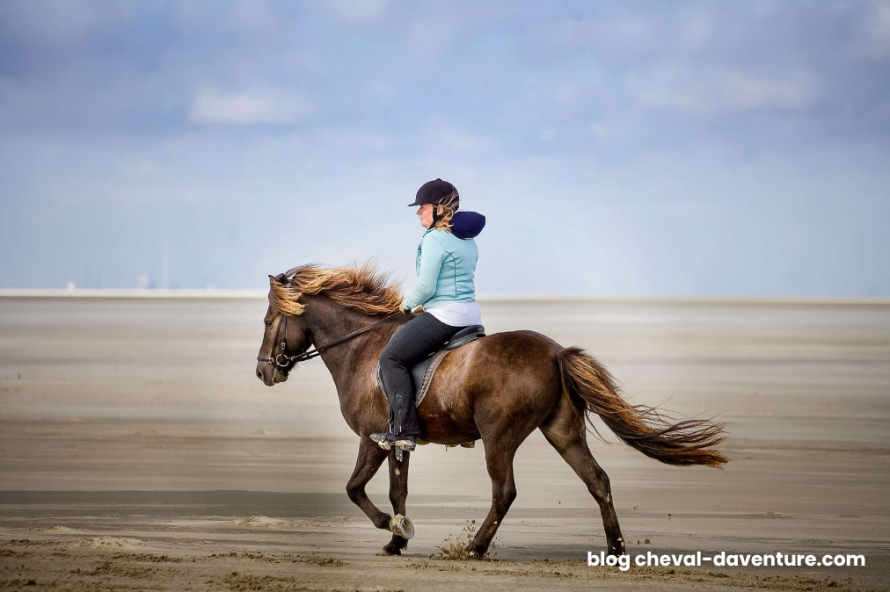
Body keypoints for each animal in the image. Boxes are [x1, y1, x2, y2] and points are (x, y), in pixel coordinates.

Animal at [255, 262, 727, 558]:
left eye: (267, 320)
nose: (263, 372)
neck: (363, 349)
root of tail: (555, 352)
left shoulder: (372, 438)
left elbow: (355, 488)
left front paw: (392, 528)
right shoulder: (398, 442)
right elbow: (396, 491)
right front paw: (397, 540)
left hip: (499, 437)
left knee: (505, 492)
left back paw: (475, 548)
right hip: (562, 432)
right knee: (598, 481)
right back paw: (615, 549)